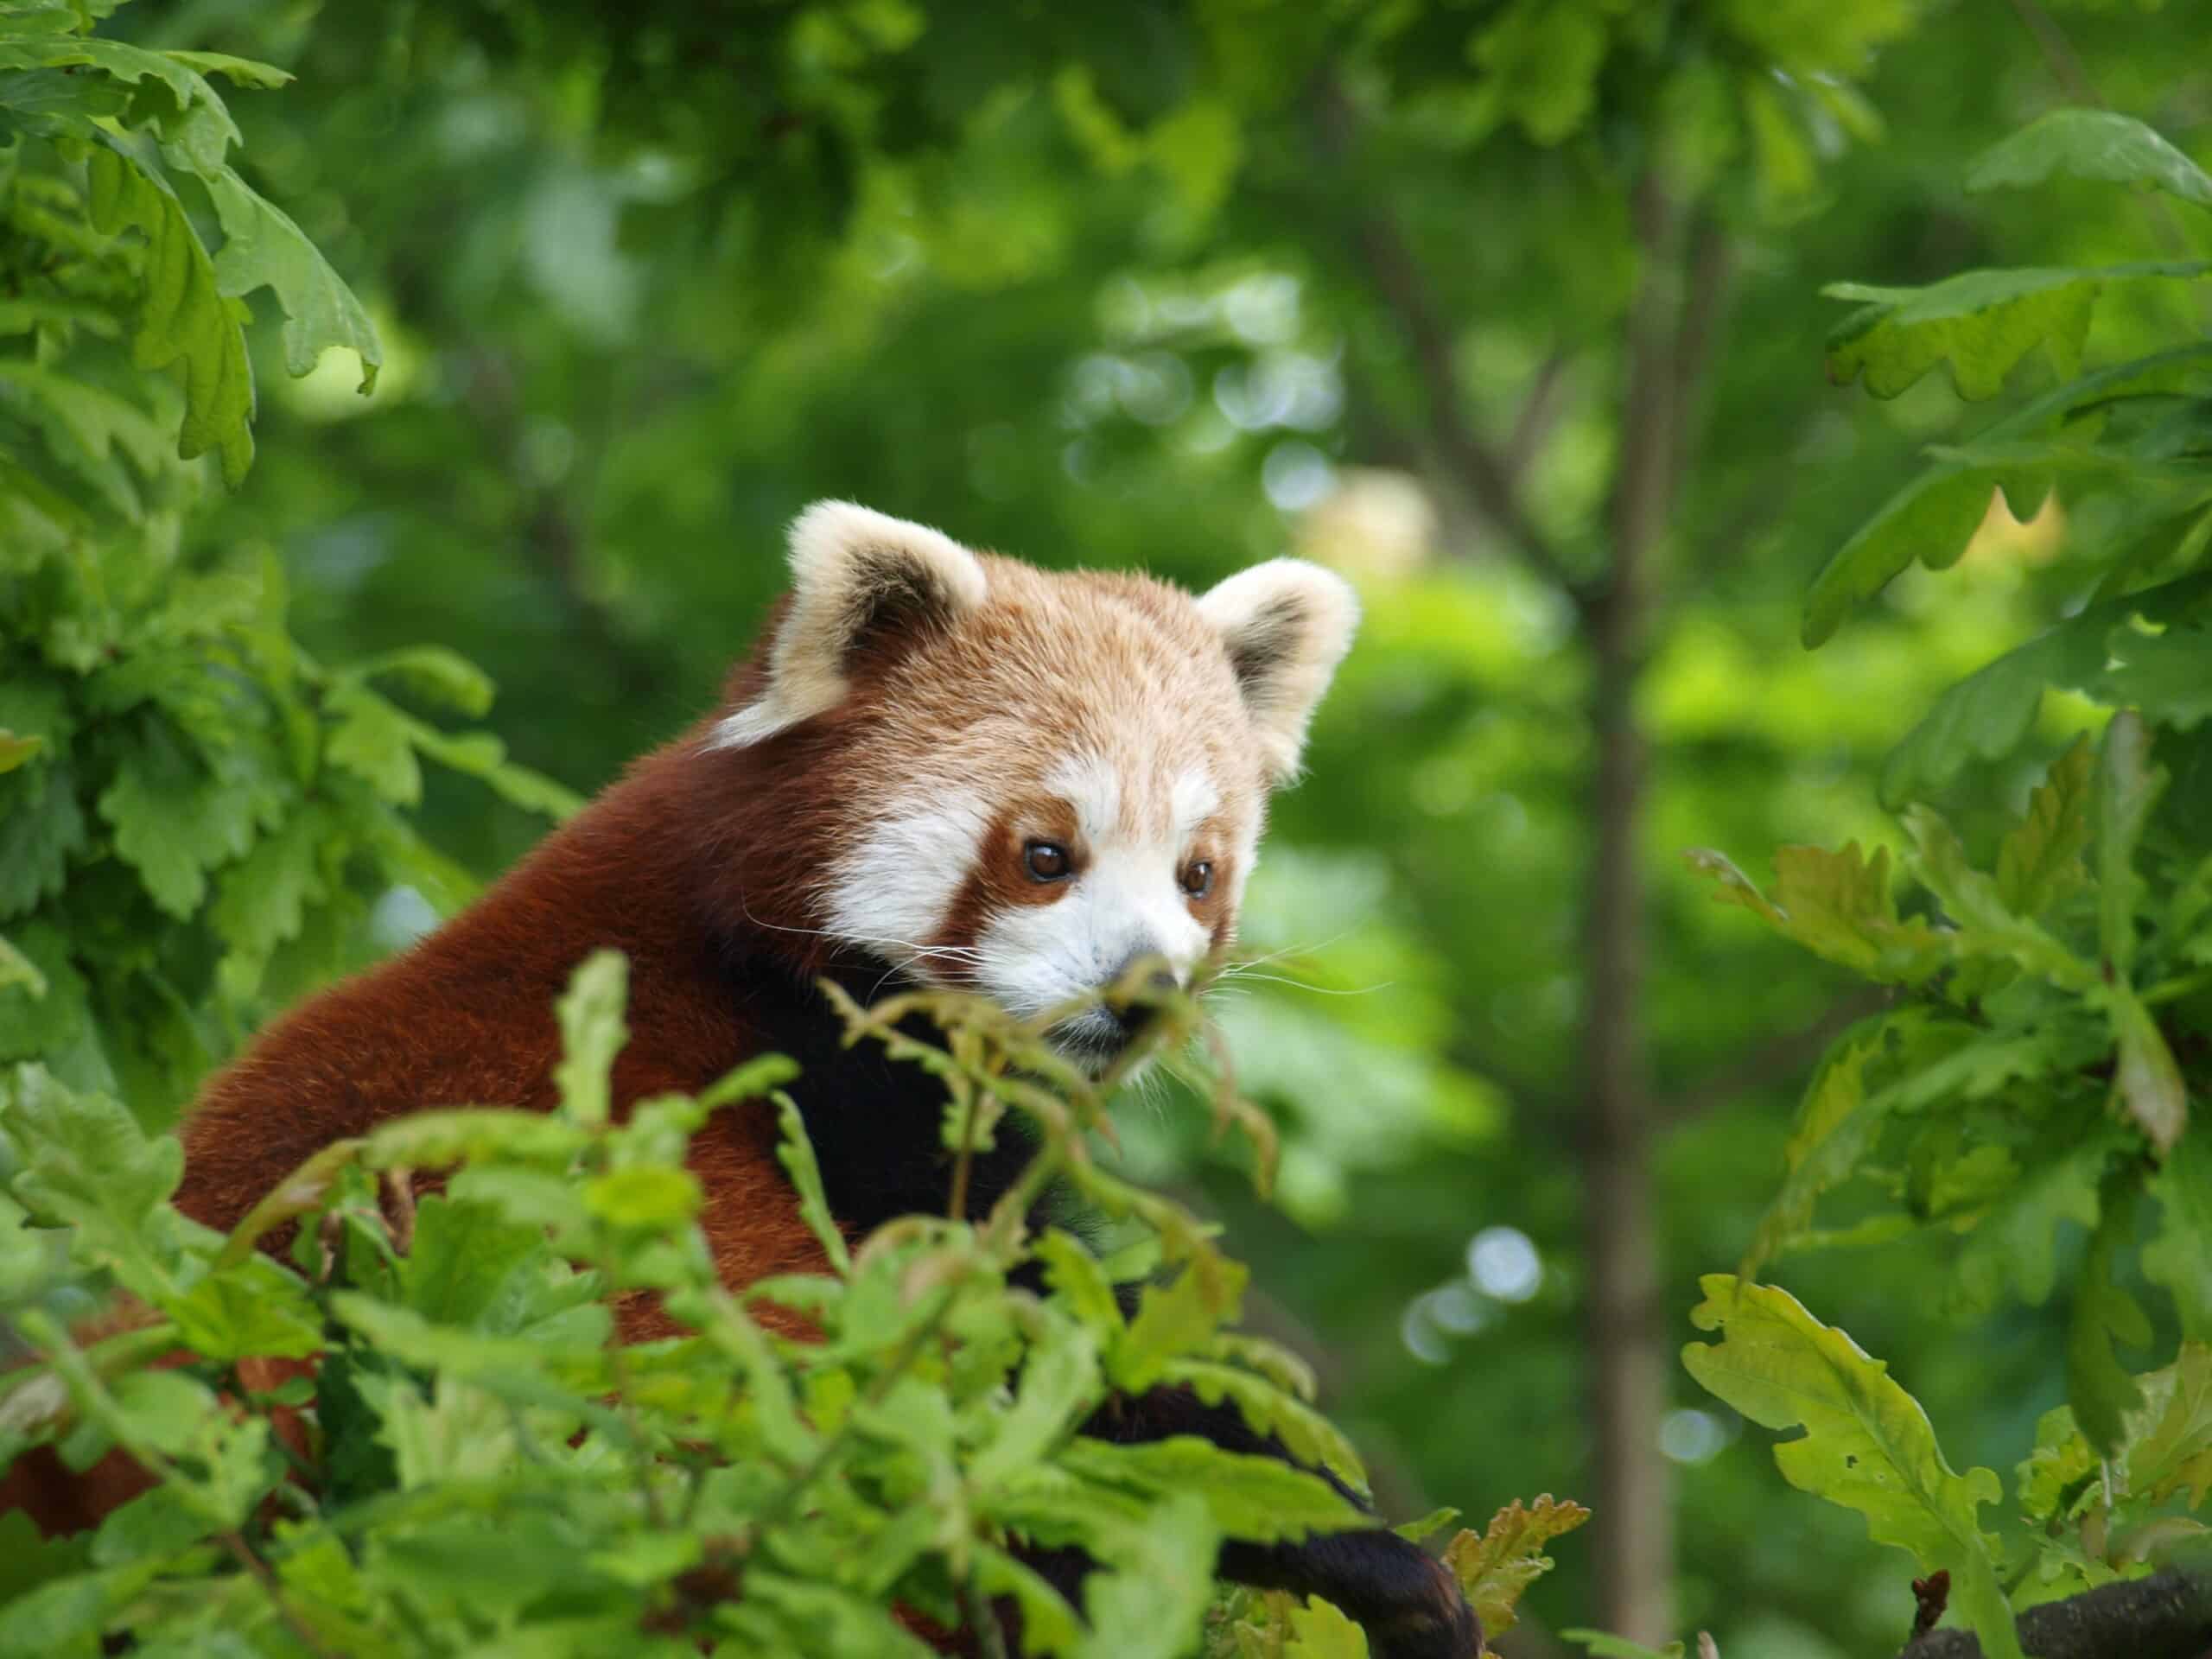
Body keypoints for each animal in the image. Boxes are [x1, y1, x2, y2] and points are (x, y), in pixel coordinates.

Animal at [20, 503, 1480, 1658]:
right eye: (1045, 853)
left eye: (1198, 872)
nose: (1141, 991)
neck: (757, 946)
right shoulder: (818, 1094)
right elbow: (1041, 1364)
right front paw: (1372, 1555)